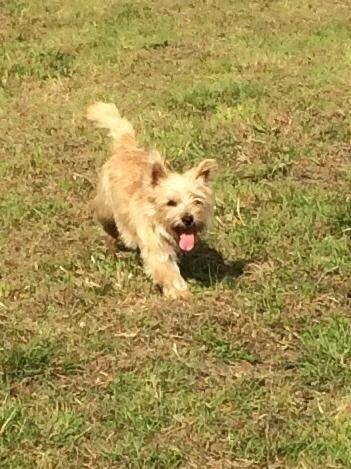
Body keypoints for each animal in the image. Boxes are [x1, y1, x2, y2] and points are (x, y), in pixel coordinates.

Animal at [86, 103, 217, 300]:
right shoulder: (155, 245)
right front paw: (179, 292)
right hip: (105, 207)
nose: (188, 219)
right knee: (107, 225)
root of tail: (126, 148)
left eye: (197, 201)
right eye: (171, 202)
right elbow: (166, 268)